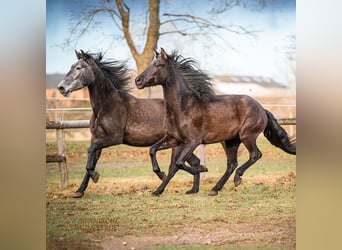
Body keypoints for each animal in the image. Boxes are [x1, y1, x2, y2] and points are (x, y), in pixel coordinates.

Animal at [57, 49, 207, 197]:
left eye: (79, 67)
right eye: (71, 66)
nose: (61, 87)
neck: (105, 105)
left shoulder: (114, 138)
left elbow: (90, 152)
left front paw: (95, 176)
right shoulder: (96, 138)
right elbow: (92, 160)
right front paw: (80, 190)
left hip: (179, 144)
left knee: (175, 165)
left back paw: (164, 182)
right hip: (181, 143)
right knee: (194, 161)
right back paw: (193, 188)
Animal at [135, 47, 296, 196]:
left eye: (159, 65)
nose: (138, 80)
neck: (183, 107)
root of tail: (262, 109)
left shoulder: (193, 141)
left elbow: (179, 163)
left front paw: (202, 169)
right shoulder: (174, 139)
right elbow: (153, 151)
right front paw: (158, 187)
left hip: (247, 136)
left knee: (255, 155)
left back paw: (237, 178)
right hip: (230, 141)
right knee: (231, 163)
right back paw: (215, 189)